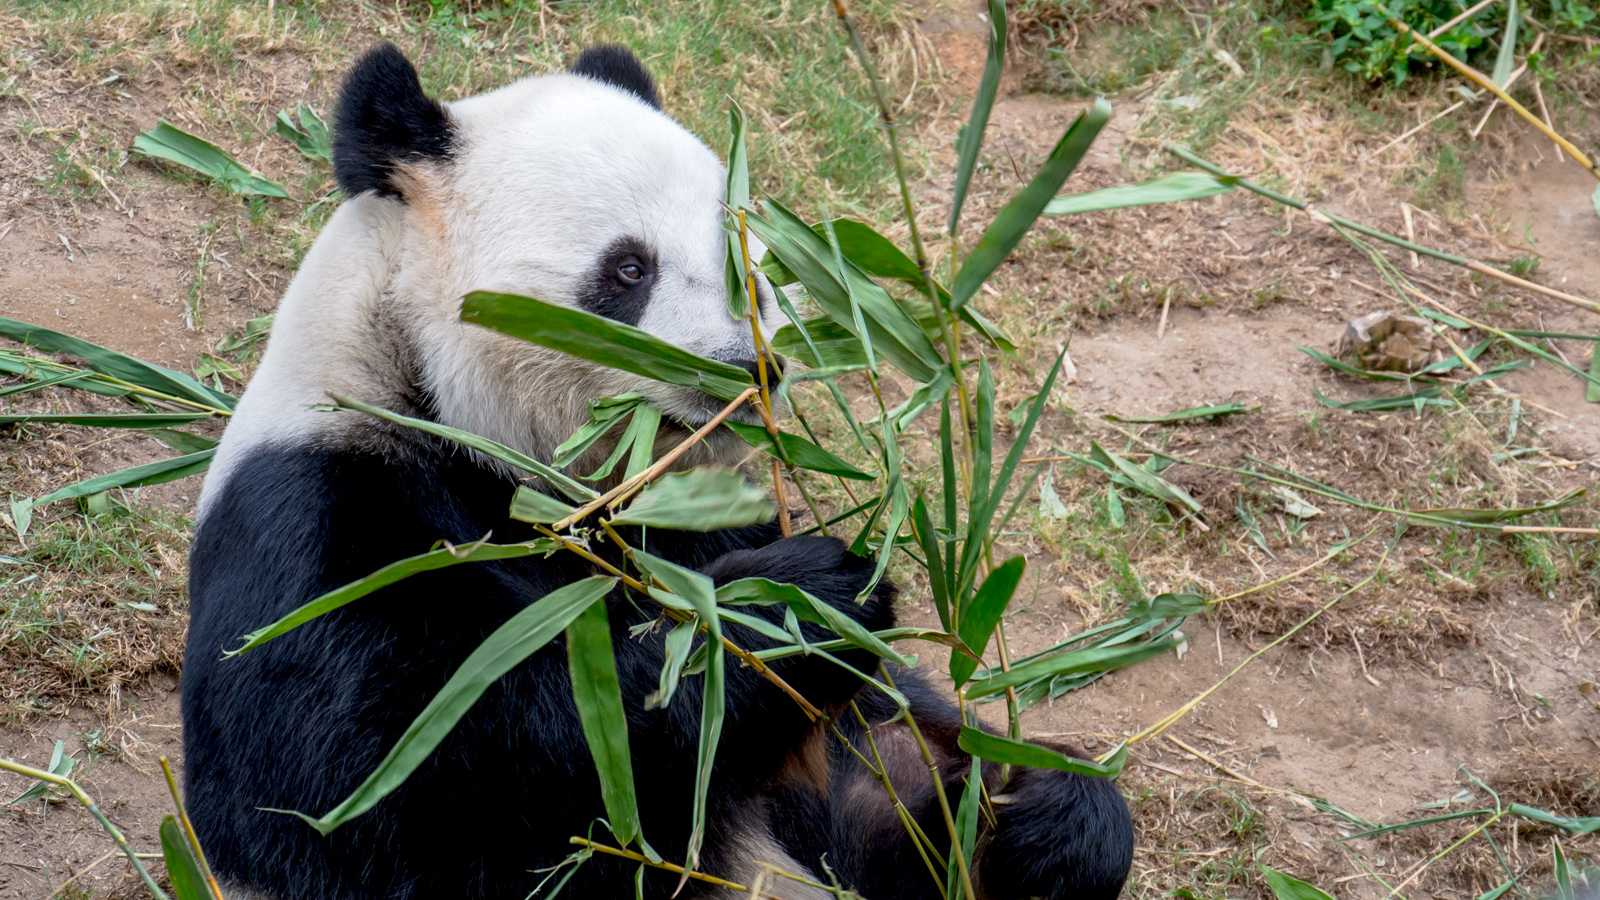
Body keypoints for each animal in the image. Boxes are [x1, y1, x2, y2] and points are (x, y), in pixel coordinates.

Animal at [184, 42, 1139, 896]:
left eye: (747, 265)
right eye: (628, 269)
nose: (749, 369)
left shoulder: (698, 514)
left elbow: (879, 781)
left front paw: (1048, 816)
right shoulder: (327, 512)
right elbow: (382, 784)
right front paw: (793, 609)